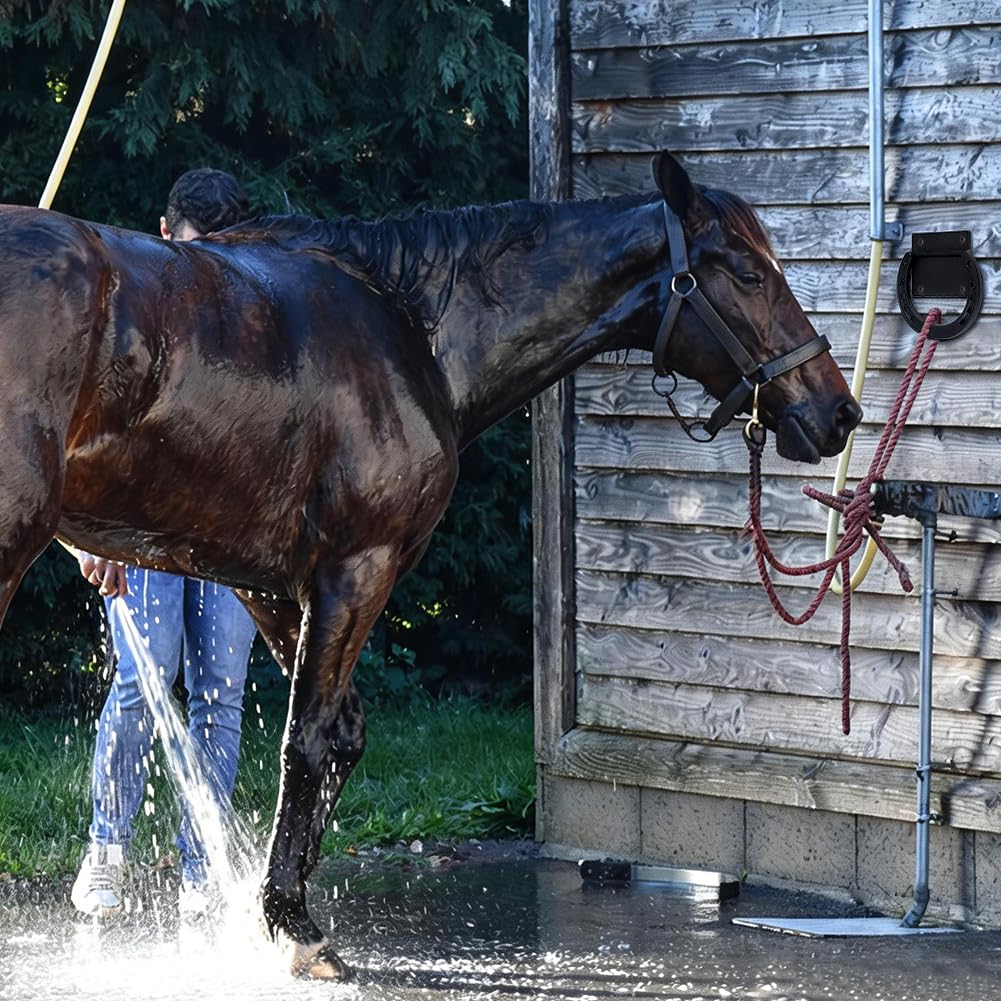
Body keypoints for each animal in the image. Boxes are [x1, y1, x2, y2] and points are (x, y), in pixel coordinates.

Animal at [0, 153, 861, 977]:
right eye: (747, 273)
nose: (838, 412)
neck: (411, 324)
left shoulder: (264, 585)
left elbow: (340, 735)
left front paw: (278, 908)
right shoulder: (354, 569)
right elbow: (309, 741)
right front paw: (293, 926)